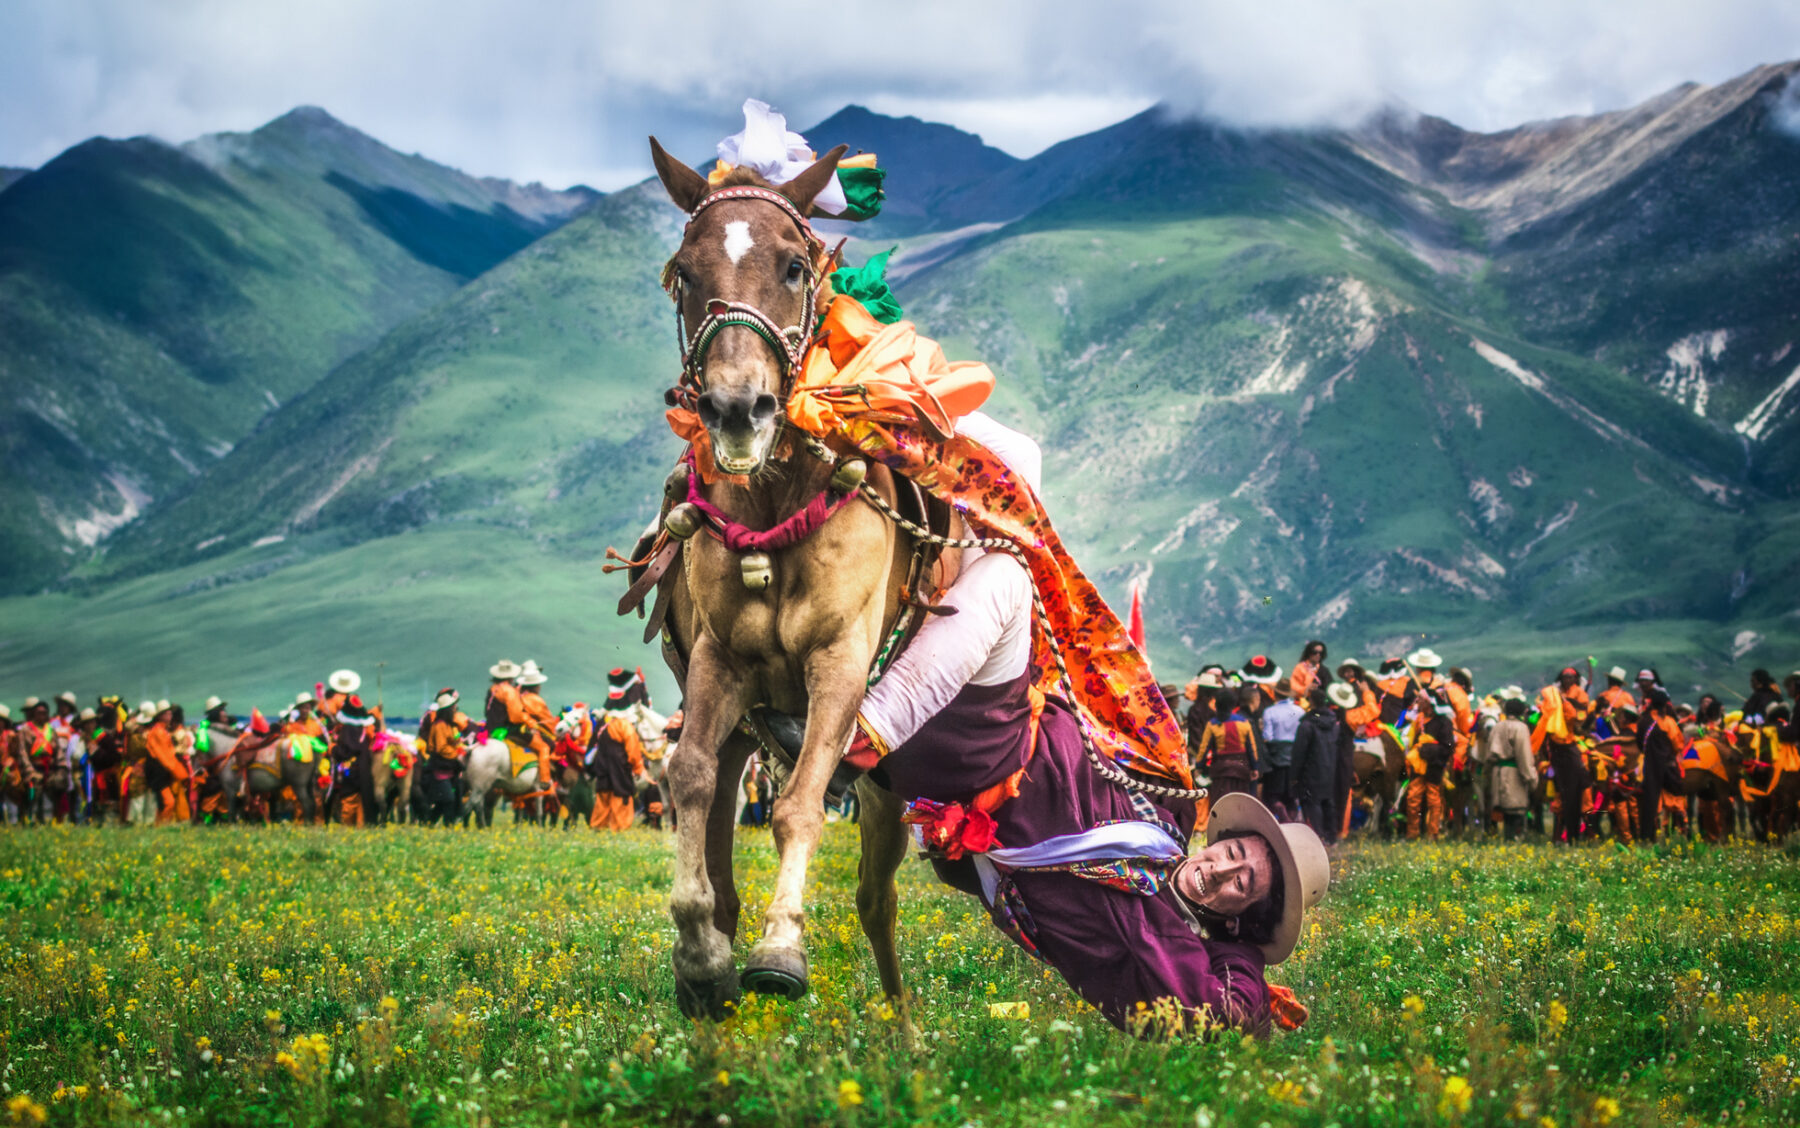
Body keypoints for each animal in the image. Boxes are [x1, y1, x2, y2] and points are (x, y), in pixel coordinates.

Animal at [640, 139, 950, 1014]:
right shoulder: (719, 664)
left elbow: (801, 802)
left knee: (876, 903)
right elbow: (689, 778)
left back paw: (902, 1030)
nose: (737, 409)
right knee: (718, 815)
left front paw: (781, 948)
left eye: (792, 266)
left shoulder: (839, 666)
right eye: (684, 272)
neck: (776, 502)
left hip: (882, 779)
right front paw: (701, 952)